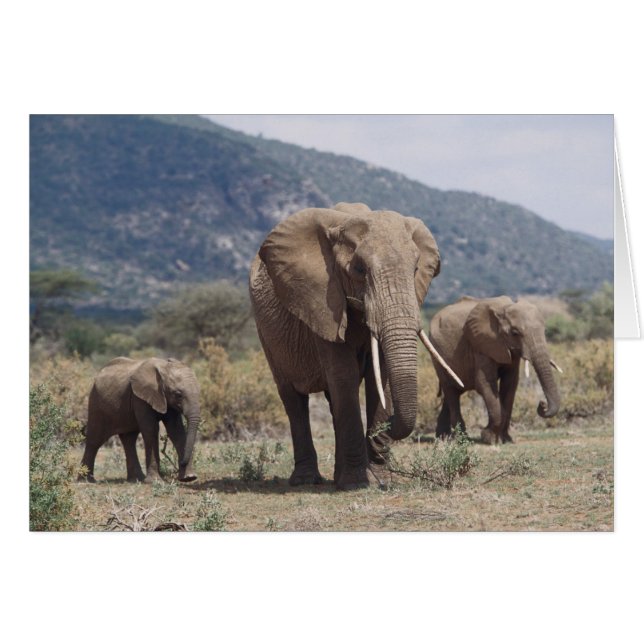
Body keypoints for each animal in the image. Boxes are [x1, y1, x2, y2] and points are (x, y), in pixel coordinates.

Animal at [249, 202, 460, 490]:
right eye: (359, 270)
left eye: (416, 269)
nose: (388, 428)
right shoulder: (322, 302)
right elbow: (344, 375)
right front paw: (357, 483)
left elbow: (378, 378)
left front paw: (379, 479)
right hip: (267, 334)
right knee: (293, 398)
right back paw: (306, 480)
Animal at [428, 296, 562, 444]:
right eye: (515, 333)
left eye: (545, 331)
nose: (542, 404)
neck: (504, 308)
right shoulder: (481, 346)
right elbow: (485, 383)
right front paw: (489, 438)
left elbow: (510, 384)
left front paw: (506, 440)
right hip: (437, 354)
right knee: (451, 390)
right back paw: (462, 439)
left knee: (453, 392)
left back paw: (443, 438)